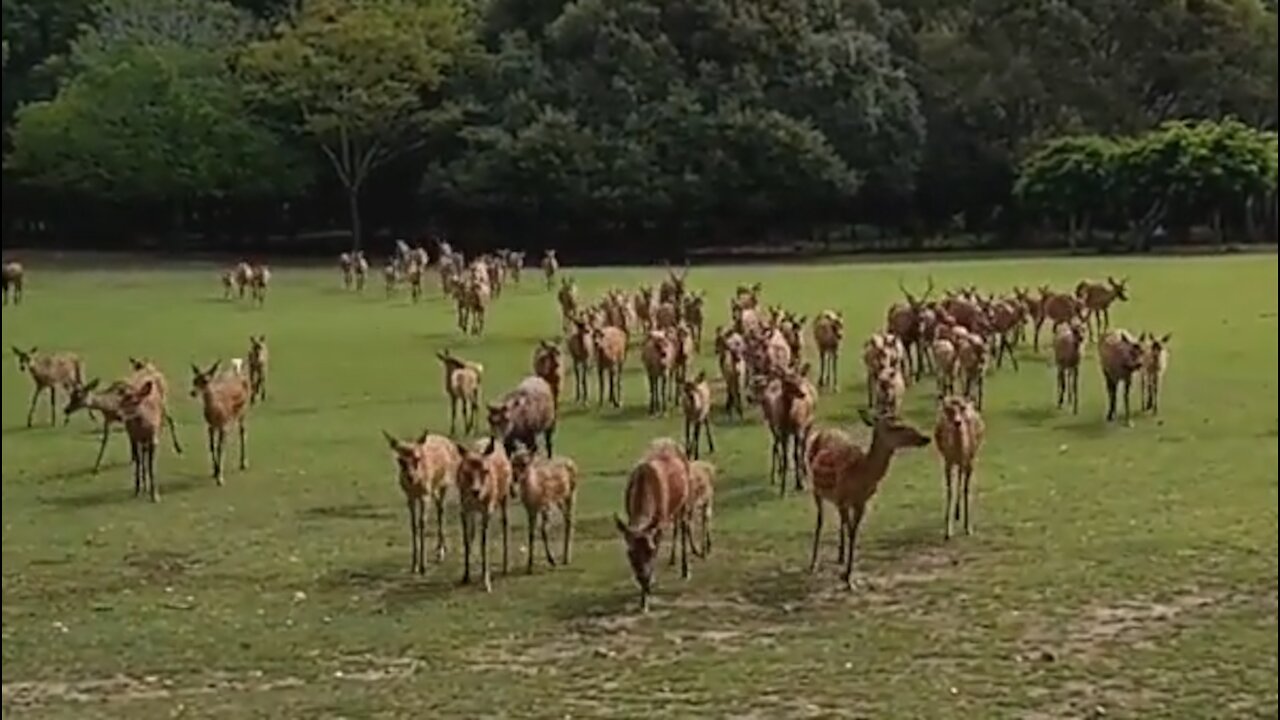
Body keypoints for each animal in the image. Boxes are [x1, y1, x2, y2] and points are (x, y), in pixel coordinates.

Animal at [803, 409, 926, 589]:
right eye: (896, 426)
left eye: (905, 420)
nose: (925, 438)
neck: (862, 474)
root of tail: (826, 430)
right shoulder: (843, 498)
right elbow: (851, 532)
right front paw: (847, 577)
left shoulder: (861, 502)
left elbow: (854, 532)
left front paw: (848, 574)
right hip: (816, 488)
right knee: (820, 521)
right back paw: (813, 564)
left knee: (839, 521)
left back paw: (840, 557)